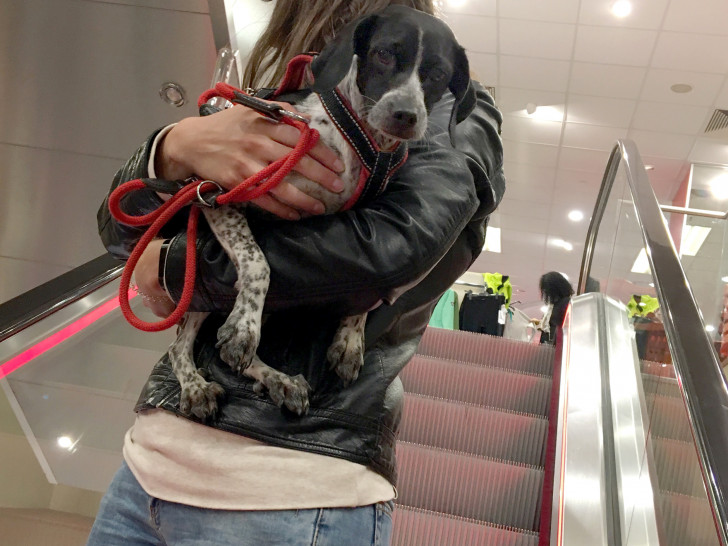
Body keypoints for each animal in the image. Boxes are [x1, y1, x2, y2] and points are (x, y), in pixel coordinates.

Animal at [171, 5, 478, 416]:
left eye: (438, 74)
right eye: (384, 54)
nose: (405, 115)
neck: (359, 140)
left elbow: (366, 292)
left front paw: (350, 339)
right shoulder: (220, 194)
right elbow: (258, 263)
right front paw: (243, 328)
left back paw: (279, 380)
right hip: (198, 293)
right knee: (180, 347)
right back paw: (197, 385)